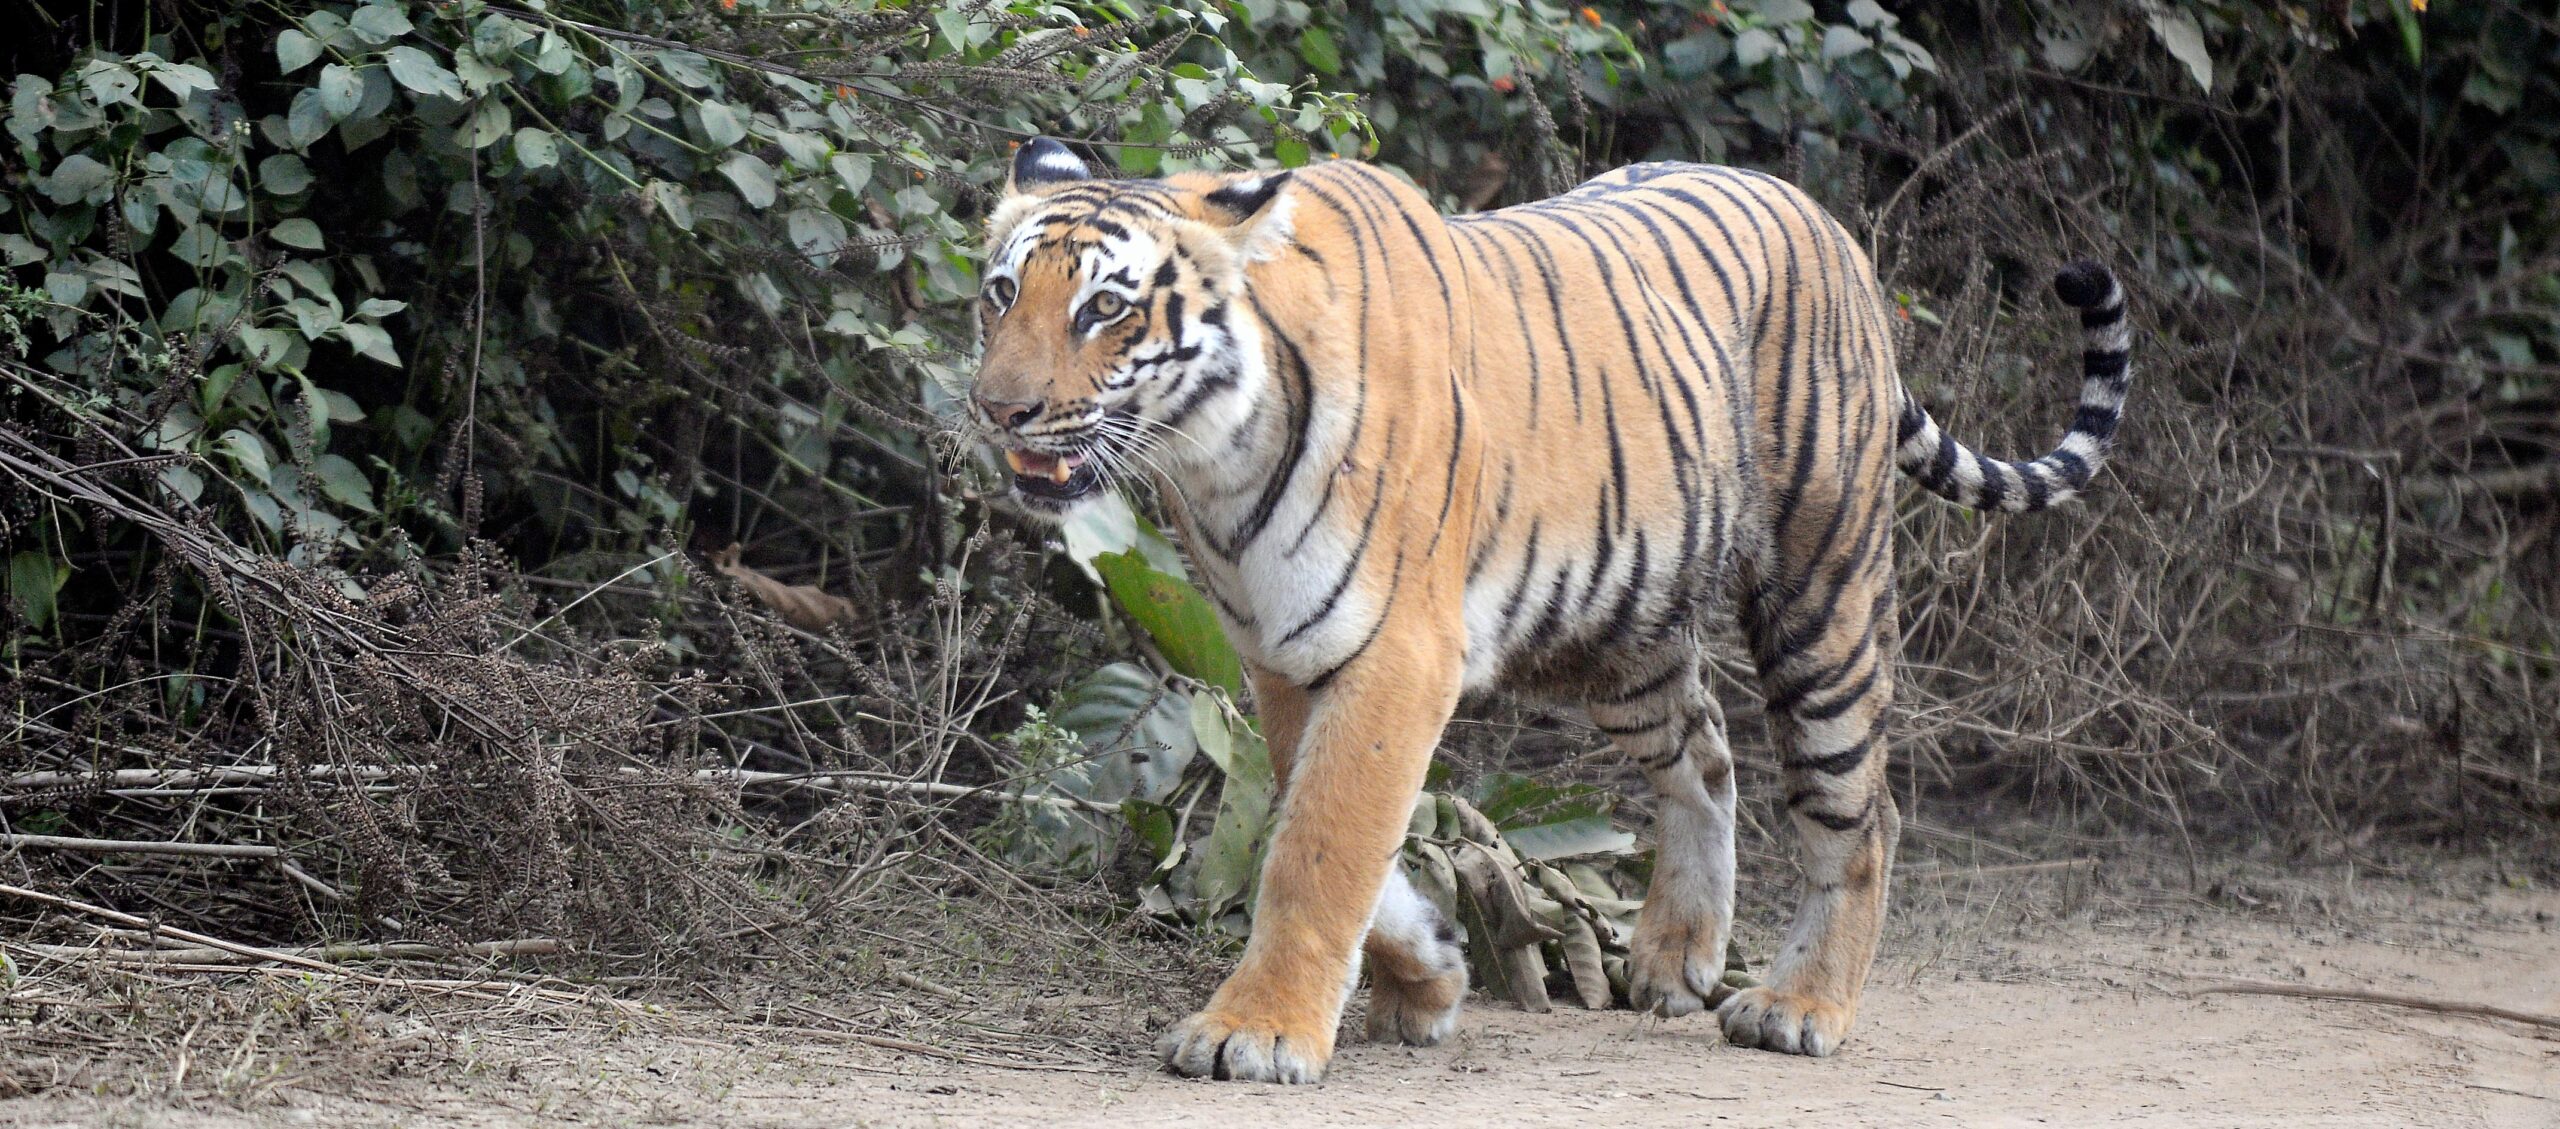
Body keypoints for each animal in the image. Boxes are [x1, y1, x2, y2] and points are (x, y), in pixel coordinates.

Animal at [967, 136, 2129, 1080]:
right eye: (999, 294)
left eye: (1104, 307)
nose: (996, 409)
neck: (1215, 460)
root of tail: (1823, 218)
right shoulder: (1285, 654)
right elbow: (1332, 834)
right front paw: (1430, 976)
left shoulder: (1397, 650)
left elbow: (1319, 850)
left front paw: (1255, 1032)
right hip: (1618, 630)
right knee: (1705, 755)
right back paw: (1673, 960)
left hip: (1821, 596)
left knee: (1862, 808)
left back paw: (1799, 1006)